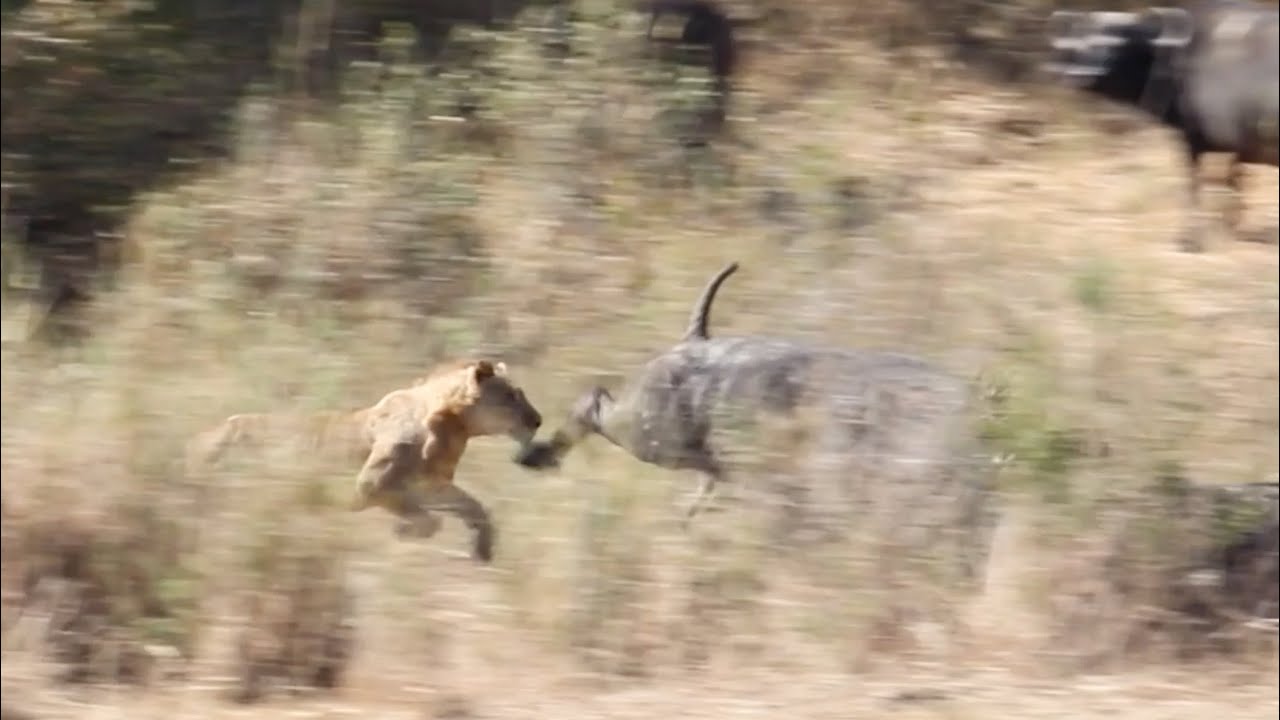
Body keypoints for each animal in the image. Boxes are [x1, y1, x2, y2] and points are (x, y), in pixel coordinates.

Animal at [187, 359, 543, 562]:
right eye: (512, 396)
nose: (538, 420)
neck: (456, 428)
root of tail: (199, 438)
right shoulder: (372, 485)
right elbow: (429, 519)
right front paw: (404, 532)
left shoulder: (432, 486)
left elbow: (475, 508)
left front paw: (482, 550)